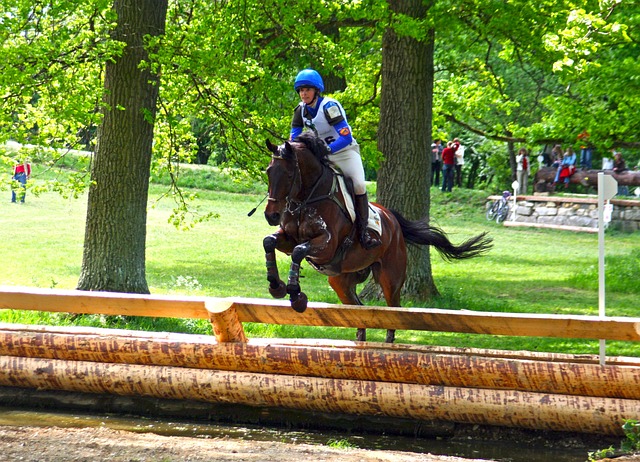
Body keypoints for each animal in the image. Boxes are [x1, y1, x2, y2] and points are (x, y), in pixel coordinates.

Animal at [262, 132, 492, 342]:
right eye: (268, 171)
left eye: (289, 175)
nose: (271, 215)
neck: (307, 198)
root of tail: (393, 220)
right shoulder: (289, 239)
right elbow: (270, 241)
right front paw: (276, 286)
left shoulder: (327, 245)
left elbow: (299, 251)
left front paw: (295, 295)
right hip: (341, 280)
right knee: (358, 309)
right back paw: (360, 341)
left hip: (390, 277)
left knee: (393, 311)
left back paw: (388, 345)